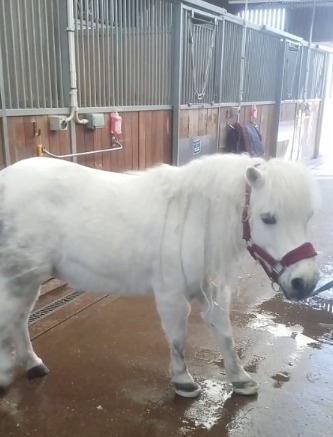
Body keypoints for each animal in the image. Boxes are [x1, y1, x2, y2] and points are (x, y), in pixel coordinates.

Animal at [0, 155, 318, 396]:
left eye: (308, 217)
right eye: (267, 218)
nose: (305, 282)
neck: (195, 219)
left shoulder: (213, 291)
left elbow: (225, 335)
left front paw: (240, 379)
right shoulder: (172, 296)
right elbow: (177, 339)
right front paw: (184, 382)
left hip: (29, 280)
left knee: (18, 321)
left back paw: (33, 364)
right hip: (17, 279)